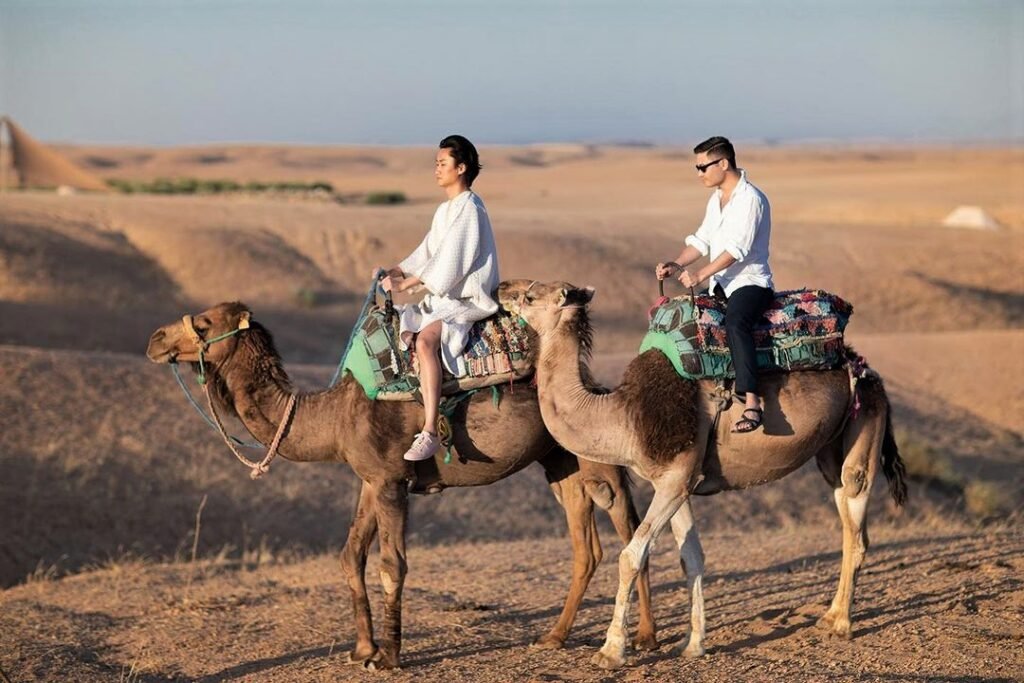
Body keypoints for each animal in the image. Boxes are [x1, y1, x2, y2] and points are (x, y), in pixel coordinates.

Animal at [146, 301, 659, 670]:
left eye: (206, 322)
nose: (155, 339)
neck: (332, 415)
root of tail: (591, 382)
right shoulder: (371, 479)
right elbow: (350, 555)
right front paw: (362, 648)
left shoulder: (391, 481)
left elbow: (392, 565)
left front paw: (388, 656)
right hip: (558, 461)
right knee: (587, 545)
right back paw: (554, 636)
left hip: (596, 458)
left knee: (627, 525)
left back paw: (644, 638)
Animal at [498, 279, 908, 670]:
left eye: (531, 296)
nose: (502, 291)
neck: (623, 417)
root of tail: (866, 370)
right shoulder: (676, 481)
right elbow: (691, 558)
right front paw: (692, 644)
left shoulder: (675, 478)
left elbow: (631, 555)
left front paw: (611, 651)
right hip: (831, 448)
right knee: (846, 512)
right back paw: (829, 616)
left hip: (864, 424)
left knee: (857, 508)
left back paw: (842, 624)